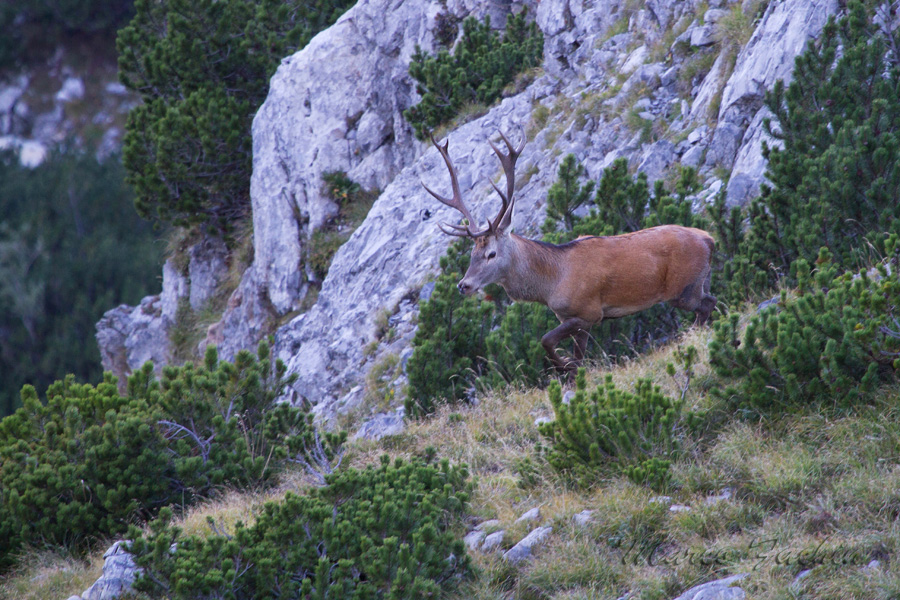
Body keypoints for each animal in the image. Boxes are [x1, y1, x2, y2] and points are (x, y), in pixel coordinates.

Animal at [422, 130, 717, 373]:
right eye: (472, 254)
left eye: (491, 254)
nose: (464, 285)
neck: (552, 282)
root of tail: (709, 239)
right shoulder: (573, 318)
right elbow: (577, 357)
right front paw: (571, 372)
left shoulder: (589, 311)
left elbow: (546, 340)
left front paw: (562, 364)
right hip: (698, 281)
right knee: (710, 300)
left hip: (683, 287)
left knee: (706, 304)